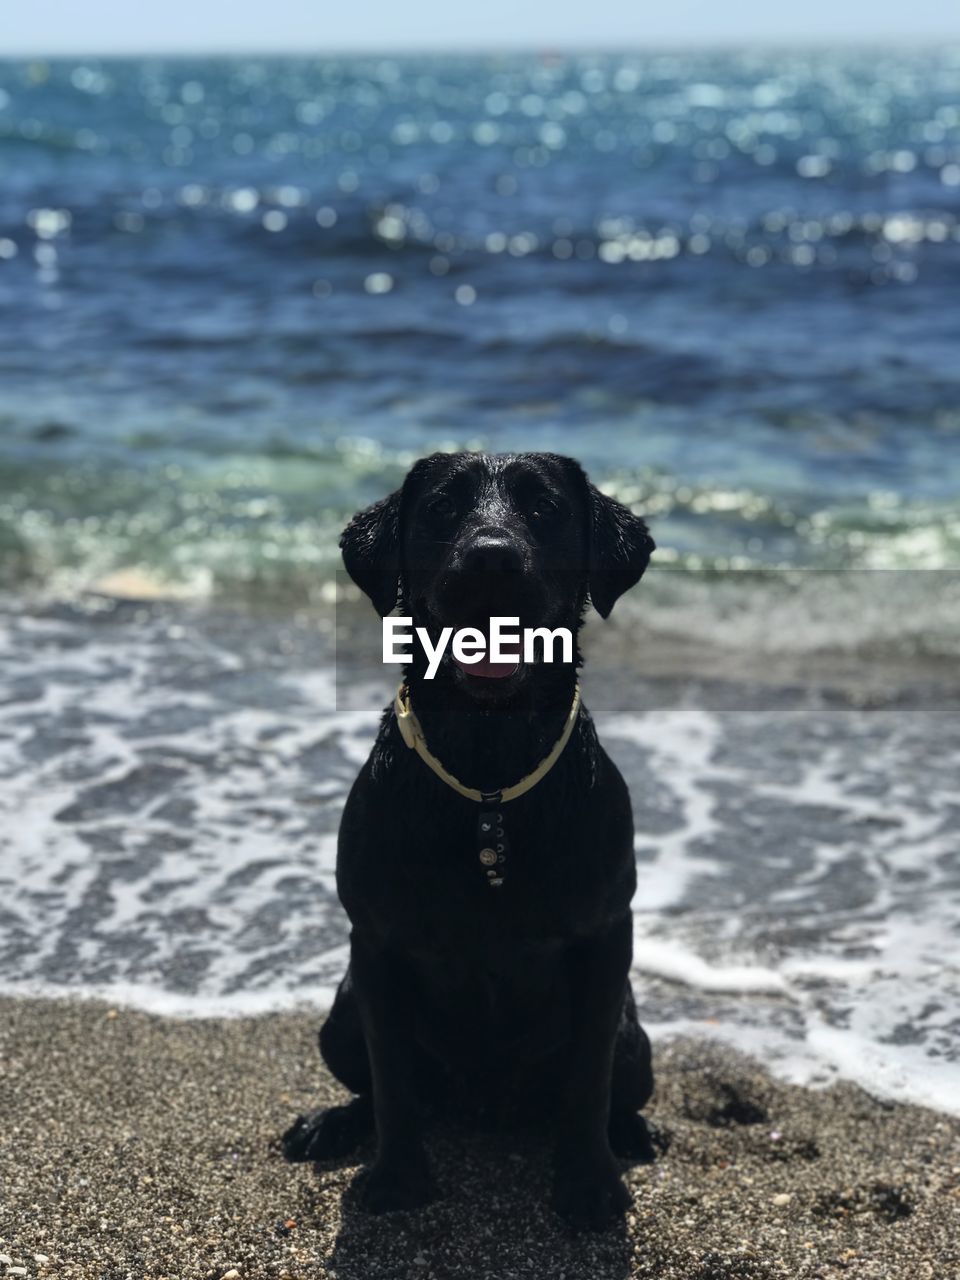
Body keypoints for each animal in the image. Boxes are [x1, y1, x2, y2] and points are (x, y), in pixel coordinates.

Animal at [284, 450, 660, 1228]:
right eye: (441, 507)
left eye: (544, 508)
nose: (492, 557)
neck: (489, 778)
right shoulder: (376, 944)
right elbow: (392, 1082)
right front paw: (397, 1178)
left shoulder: (606, 936)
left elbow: (587, 1079)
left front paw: (589, 1185)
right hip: (339, 1018)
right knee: (377, 1085)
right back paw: (332, 1125)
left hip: (636, 1042)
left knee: (610, 1084)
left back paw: (630, 1133)